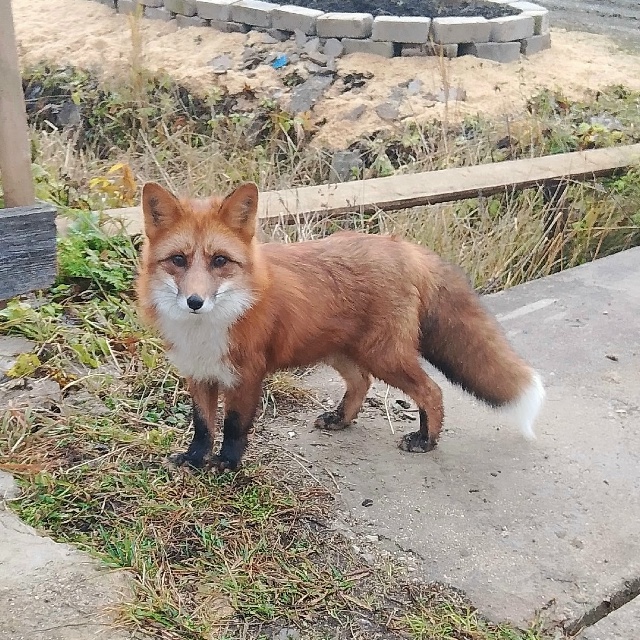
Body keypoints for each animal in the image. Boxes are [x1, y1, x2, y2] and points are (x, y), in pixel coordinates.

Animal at [136, 181, 545, 472]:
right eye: (178, 260)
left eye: (219, 260)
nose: (195, 301)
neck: (208, 329)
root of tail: (402, 246)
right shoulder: (199, 373)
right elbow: (203, 426)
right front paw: (194, 459)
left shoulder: (246, 374)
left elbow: (235, 426)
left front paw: (227, 464)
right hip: (341, 351)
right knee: (362, 382)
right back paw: (342, 419)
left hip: (384, 355)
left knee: (432, 391)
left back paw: (425, 440)